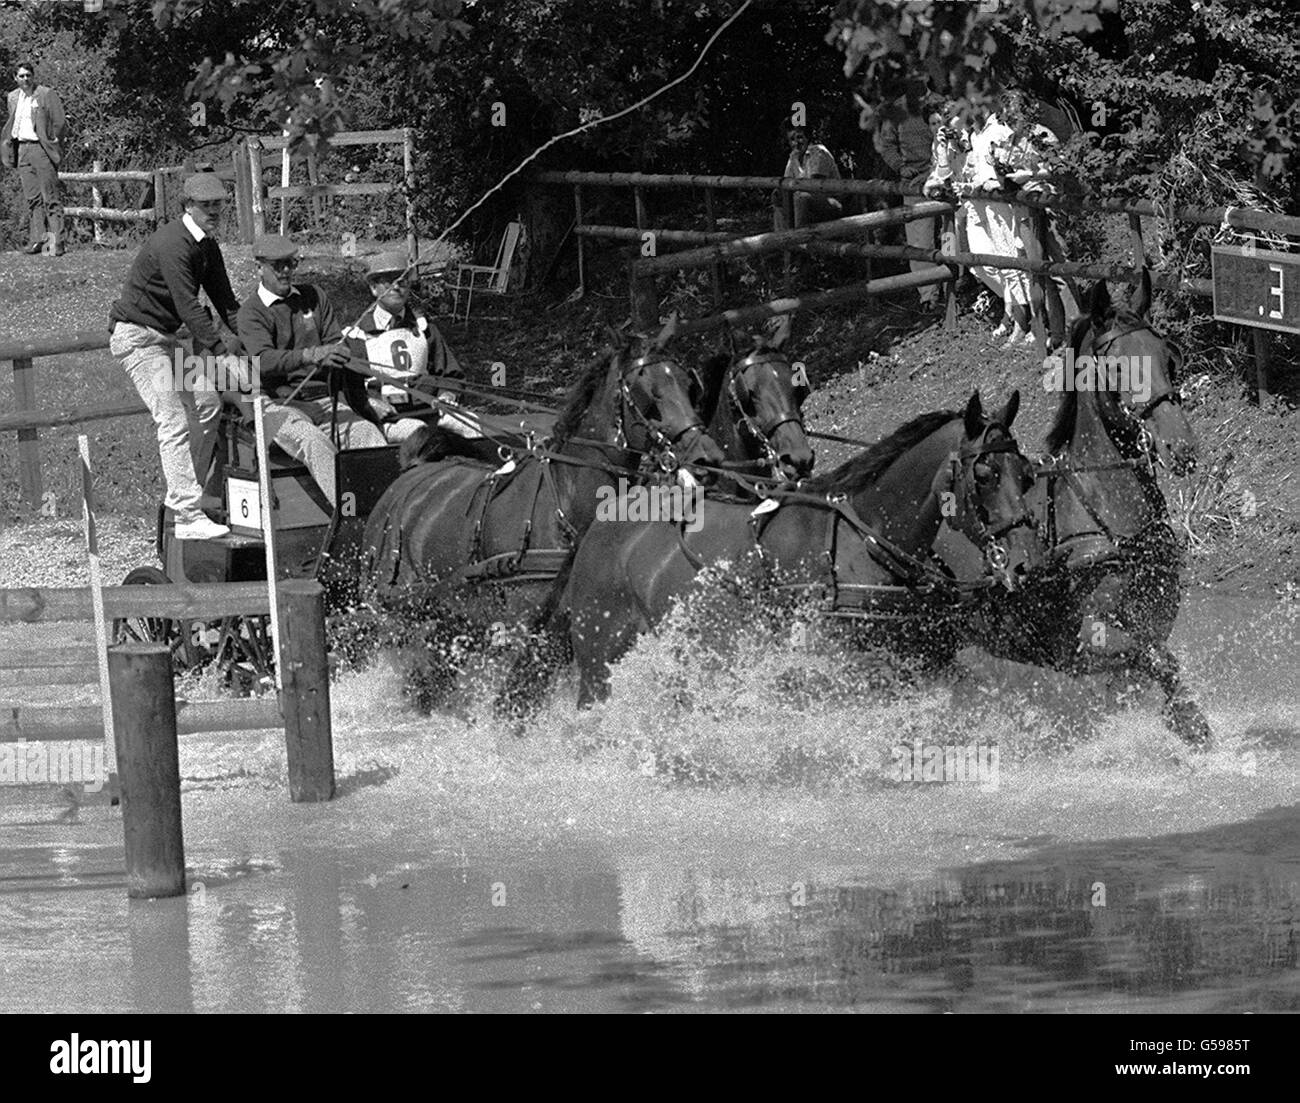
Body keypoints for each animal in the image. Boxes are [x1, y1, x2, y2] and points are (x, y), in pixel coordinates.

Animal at [356, 327, 728, 707]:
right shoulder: (533, 629)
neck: (564, 500)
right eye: (649, 394)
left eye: (690, 385)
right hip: (398, 614)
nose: (707, 458)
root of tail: (410, 472)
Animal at [564, 390, 1040, 707]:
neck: (864, 540)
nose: (1023, 562)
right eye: (984, 474)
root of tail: (599, 529)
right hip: (599, 658)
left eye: (1027, 472)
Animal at [935, 271, 1206, 744]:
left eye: (1168, 359)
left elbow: (1148, 664)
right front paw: (1191, 723)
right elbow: (1154, 659)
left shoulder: (1156, 613)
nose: (1181, 447)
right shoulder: (1082, 642)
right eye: (1118, 368)